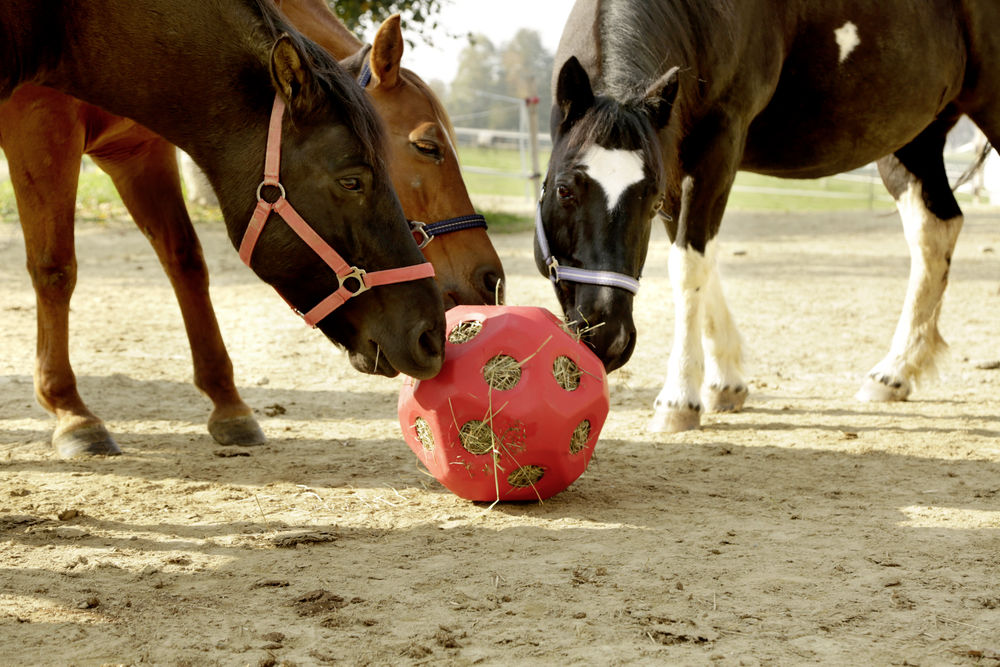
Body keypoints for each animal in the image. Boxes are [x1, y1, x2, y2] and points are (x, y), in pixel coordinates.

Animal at [0, 0, 446, 457]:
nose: (432, 336)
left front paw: (229, 406)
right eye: (352, 181)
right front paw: (72, 413)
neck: (64, 21)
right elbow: (56, 268)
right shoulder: (40, 130)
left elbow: (186, 260)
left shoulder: (134, 150)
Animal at [537, 0, 1000, 432]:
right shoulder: (675, 158)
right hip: (915, 140)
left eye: (649, 202)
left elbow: (689, 266)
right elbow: (698, 261)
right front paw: (725, 383)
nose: (608, 336)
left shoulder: (717, 145)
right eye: (564, 190)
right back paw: (895, 372)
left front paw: (680, 400)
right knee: (935, 232)